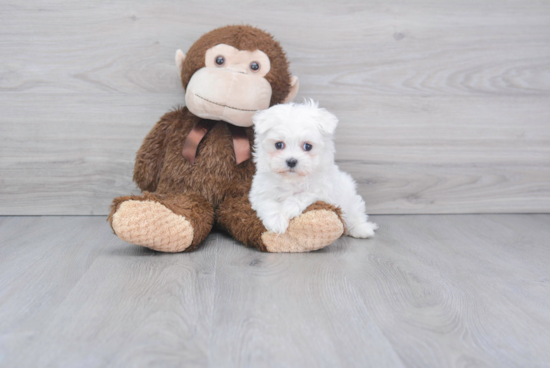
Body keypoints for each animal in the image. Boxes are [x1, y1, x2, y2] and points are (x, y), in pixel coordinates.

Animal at [250, 100, 380, 239]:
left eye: (308, 146)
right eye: (279, 145)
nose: (291, 161)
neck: (293, 179)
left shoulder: (322, 189)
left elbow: (304, 194)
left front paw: (289, 207)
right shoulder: (261, 192)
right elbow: (268, 203)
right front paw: (277, 222)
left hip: (350, 200)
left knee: (355, 215)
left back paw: (362, 229)